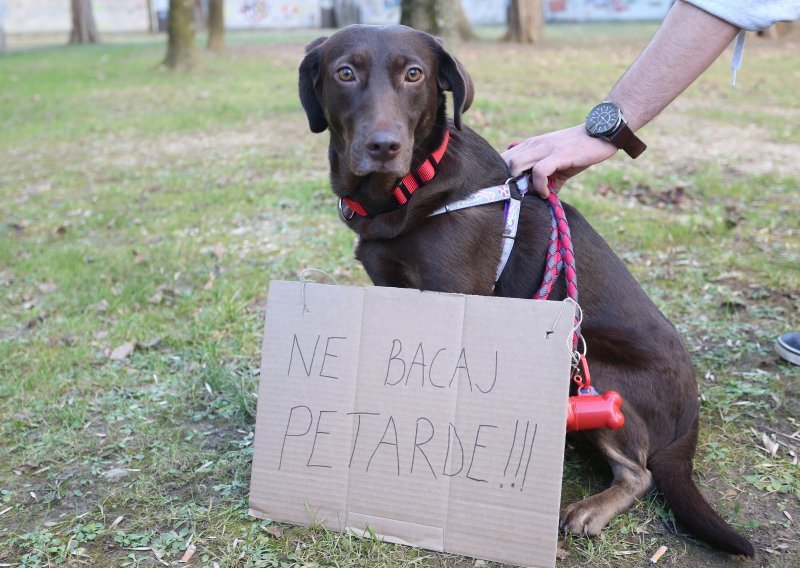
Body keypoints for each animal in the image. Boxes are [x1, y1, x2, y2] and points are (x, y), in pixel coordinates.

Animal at [298, 24, 752, 556]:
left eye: (414, 74)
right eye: (345, 73)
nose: (383, 146)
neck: (408, 187)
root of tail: (692, 413)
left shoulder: (455, 298)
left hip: (590, 362)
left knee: (639, 472)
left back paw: (591, 509)